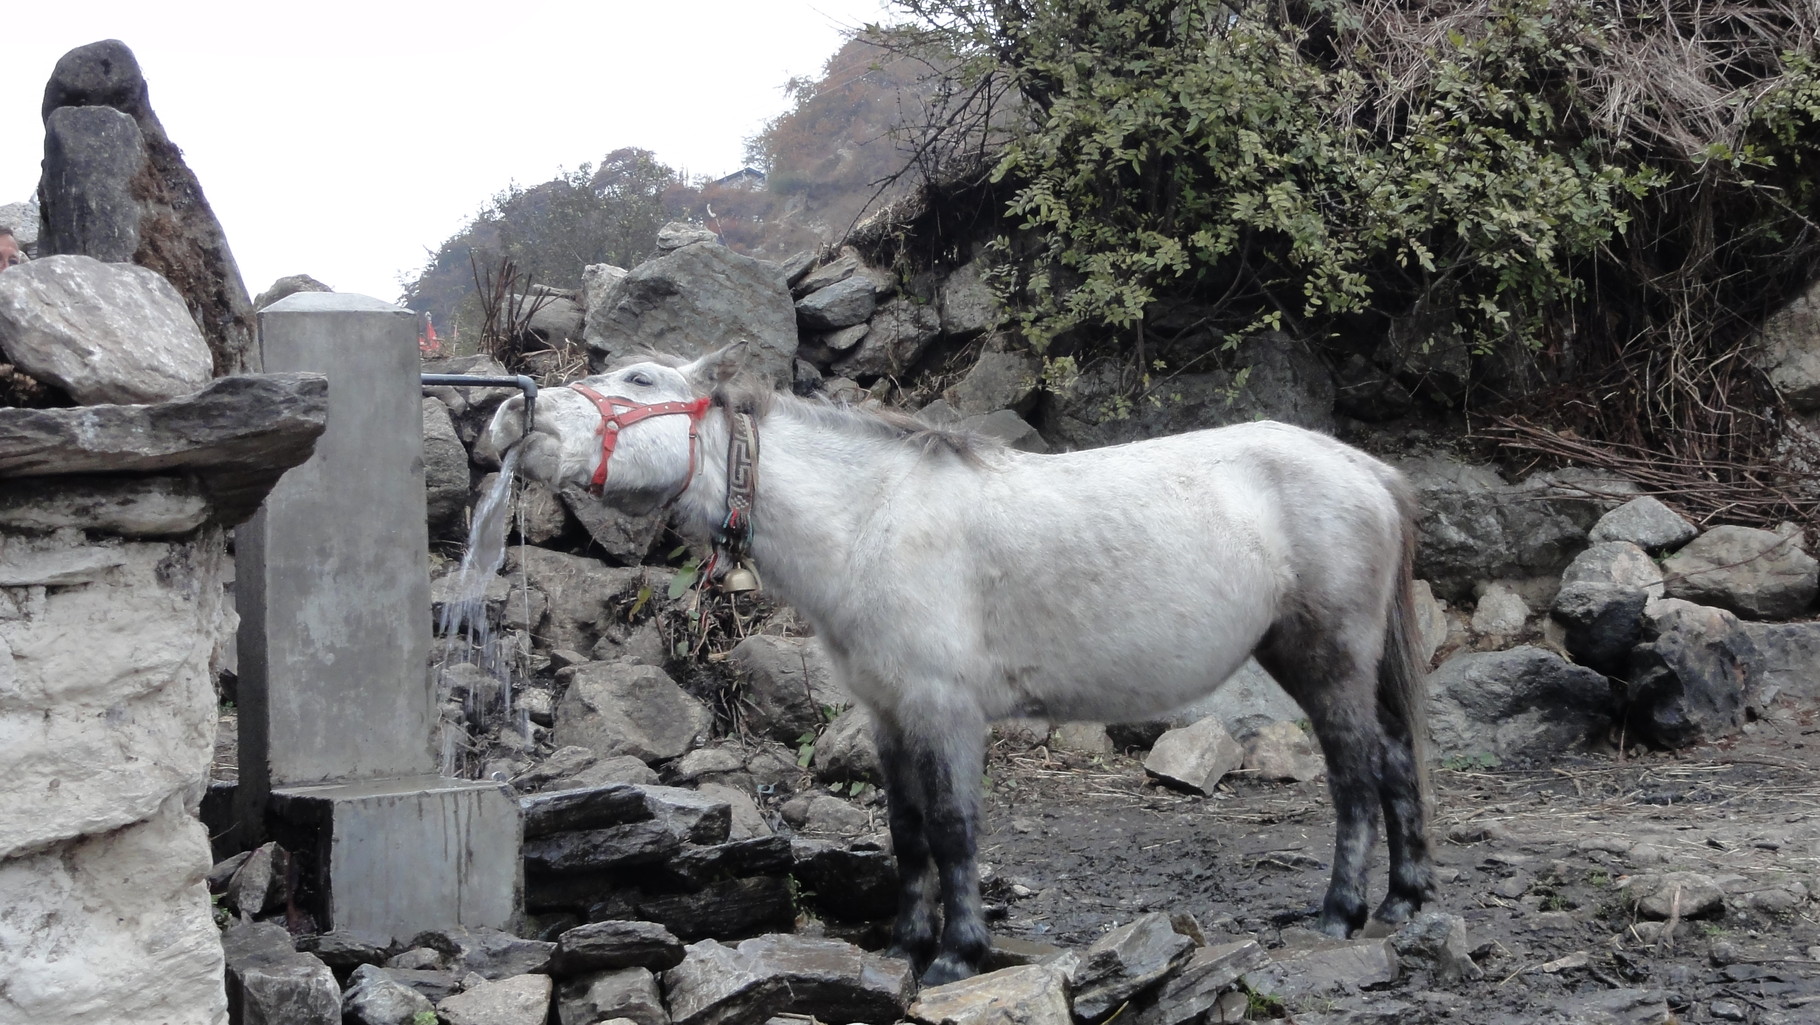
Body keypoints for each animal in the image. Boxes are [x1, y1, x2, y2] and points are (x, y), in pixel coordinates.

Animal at [484, 351, 1434, 983]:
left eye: (641, 380)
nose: (509, 417)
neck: (871, 518)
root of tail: (1366, 469)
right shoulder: (890, 712)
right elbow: (907, 832)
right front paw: (909, 941)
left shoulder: (945, 711)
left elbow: (952, 827)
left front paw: (957, 954)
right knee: (1395, 763)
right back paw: (1406, 897)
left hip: (1325, 660)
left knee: (1357, 773)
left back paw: (1342, 910)